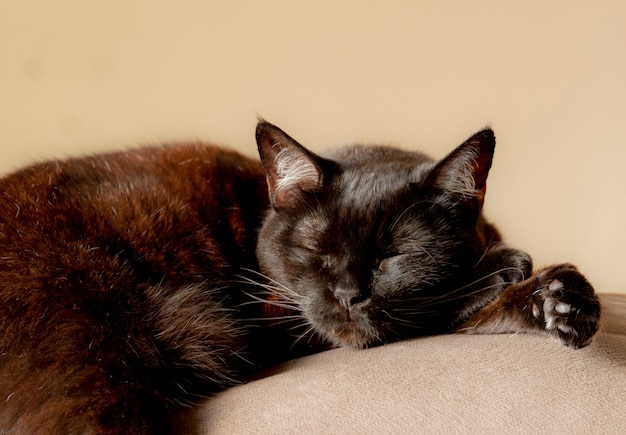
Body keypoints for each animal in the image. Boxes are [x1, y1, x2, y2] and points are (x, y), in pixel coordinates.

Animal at [0, 121, 596, 434]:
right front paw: (507, 268)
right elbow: (438, 307)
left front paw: (561, 301)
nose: (349, 295)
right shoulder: (277, 320)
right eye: (315, 249)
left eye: (396, 255)